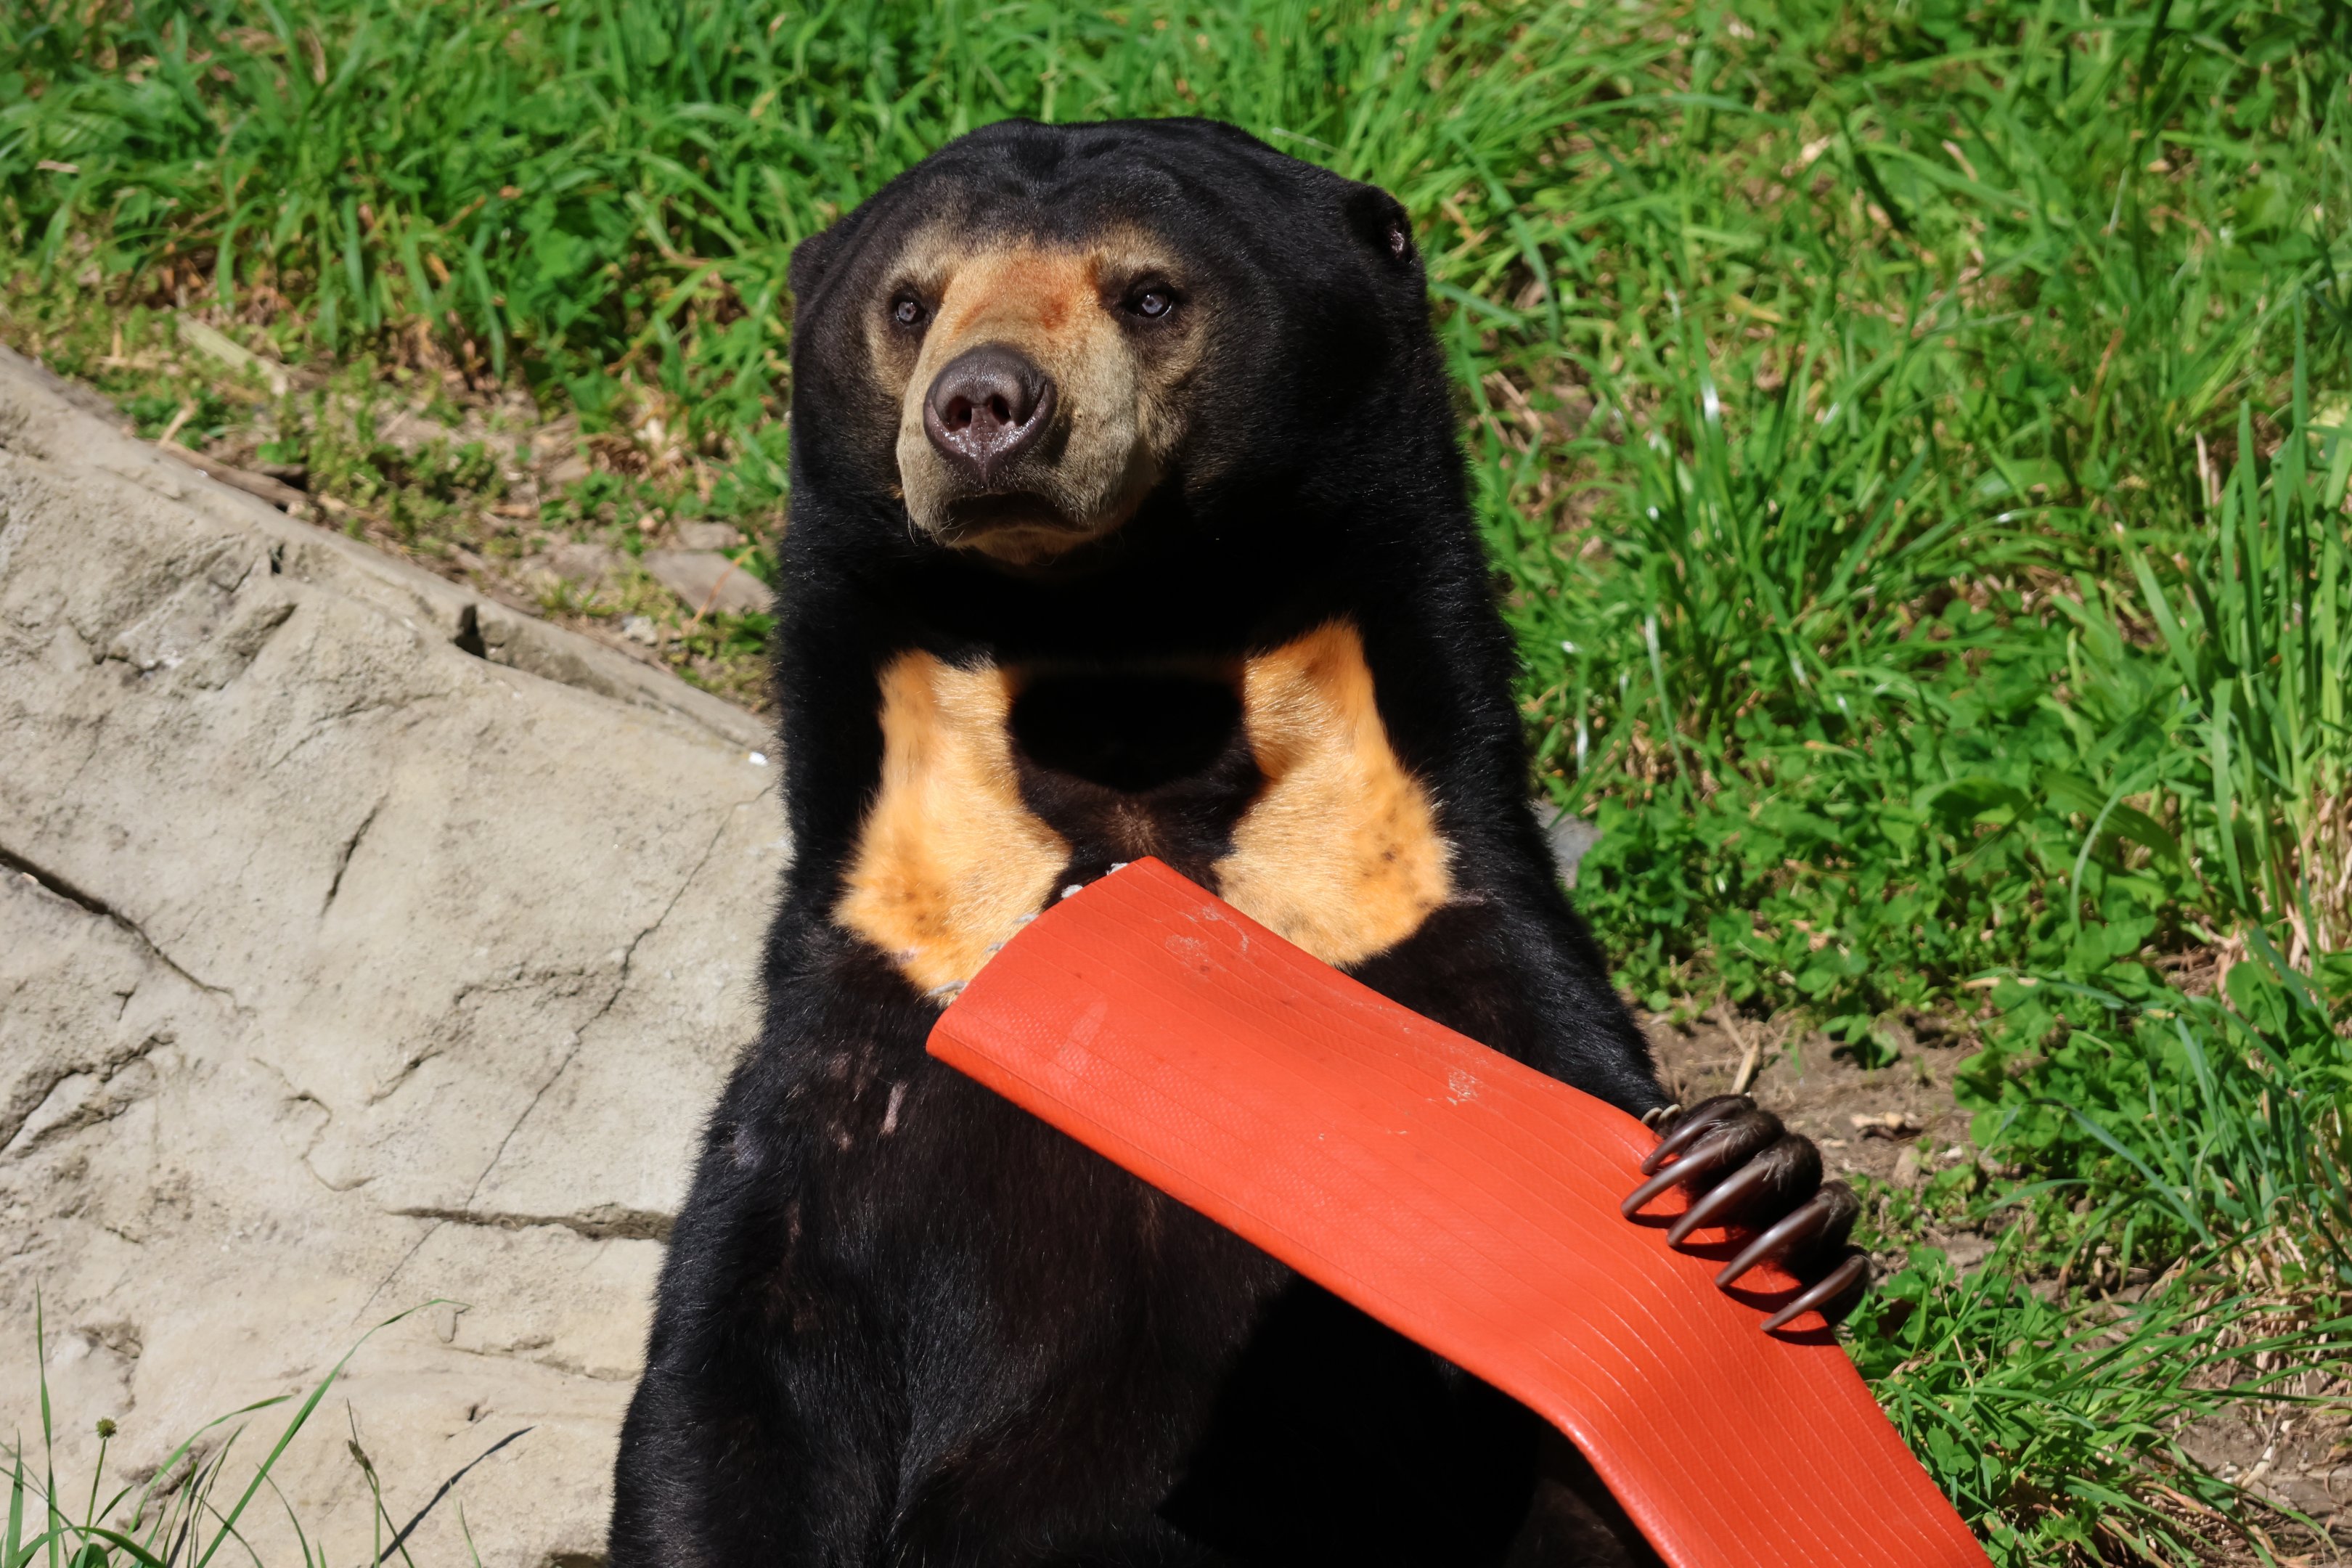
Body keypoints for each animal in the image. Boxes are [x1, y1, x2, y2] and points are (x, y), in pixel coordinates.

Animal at [610, 116, 1867, 1568]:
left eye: (1150, 296)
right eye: (910, 304)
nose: (984, 406)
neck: (1121, 693)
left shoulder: (1435, 920)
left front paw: (1750, 1183)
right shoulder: (870, 1008)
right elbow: (742, 1368)